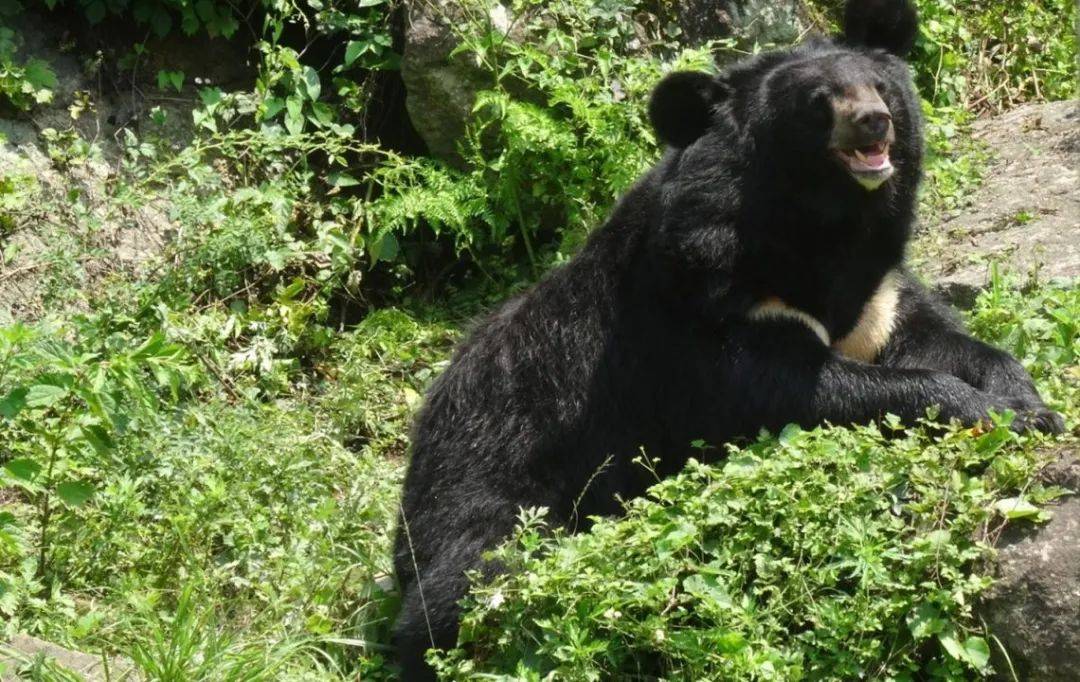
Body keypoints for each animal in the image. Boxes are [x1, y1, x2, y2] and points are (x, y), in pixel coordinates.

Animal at [393, 1, 1058, 678]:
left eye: (880, 87)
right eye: (819, 102)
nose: (874, 123)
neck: (825, 224)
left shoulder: (878, 299)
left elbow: (935, 339)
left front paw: (1029, 403)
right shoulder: (707, 305)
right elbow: (792, 389)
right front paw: (983, 409)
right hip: (490, 474)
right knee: (475, 574)